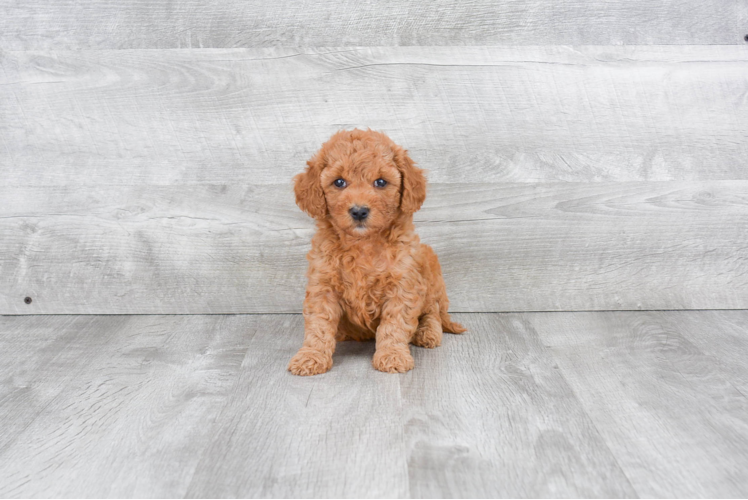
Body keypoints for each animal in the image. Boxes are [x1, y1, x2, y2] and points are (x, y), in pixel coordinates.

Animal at [290, 129, 464, 376]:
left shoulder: (403, 284)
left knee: (433, 312)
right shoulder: (322, 285)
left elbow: (394, 324)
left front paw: (392, 355)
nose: (359, 211)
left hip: (430, 268)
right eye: (339, 182)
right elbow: (319, 325)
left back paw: (427, 333)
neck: (363, 243)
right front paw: (310, 356)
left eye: (381, 182)